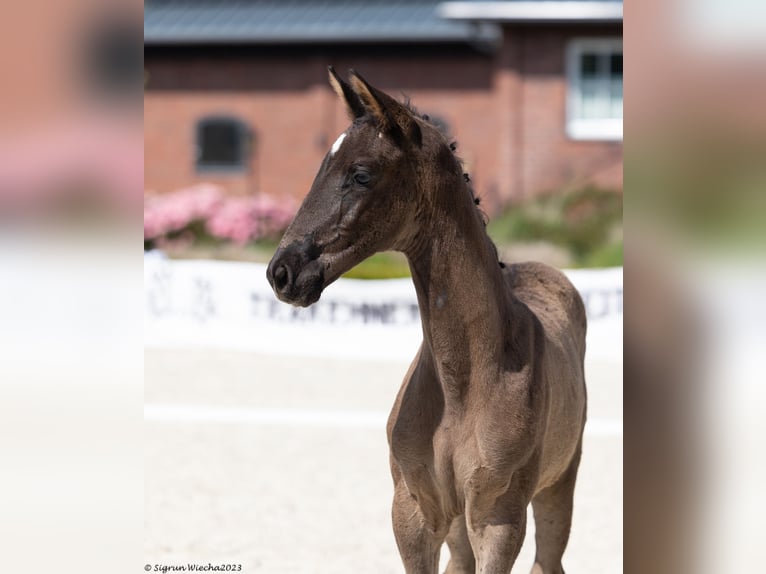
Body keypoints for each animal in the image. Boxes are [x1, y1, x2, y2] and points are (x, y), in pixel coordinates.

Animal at [268, 68, 592, 574]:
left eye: (361, 175)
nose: (282, 272)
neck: (465, 383)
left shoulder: (498, 519)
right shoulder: (414, 512)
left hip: (558, 484)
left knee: (549, 558)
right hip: (458, 524)